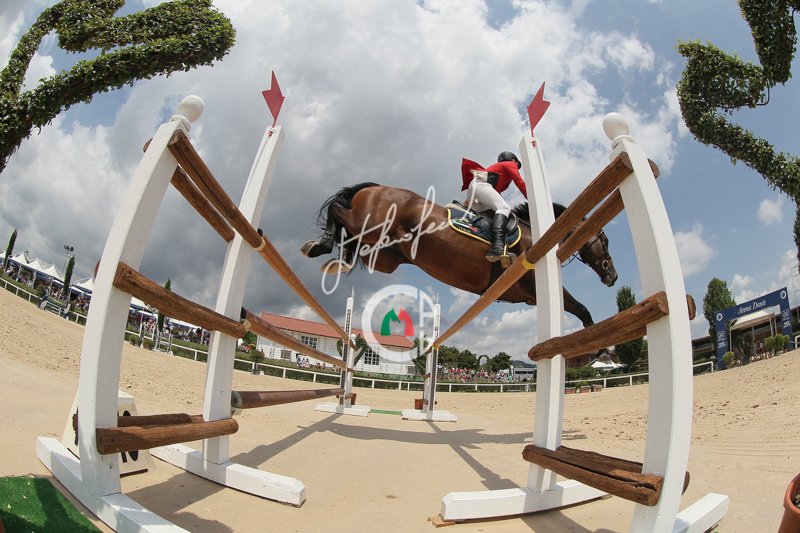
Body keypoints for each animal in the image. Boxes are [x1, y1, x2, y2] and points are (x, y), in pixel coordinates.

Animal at [300, 182, 617, 326]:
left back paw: (336, 260)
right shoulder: (535, 286)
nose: (613, 276)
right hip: (371, 226)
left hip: (384, 255)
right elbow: (581, 308)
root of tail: (375, 187)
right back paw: (321, 246)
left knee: (353, 242)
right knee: (337, 210)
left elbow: (578, 308)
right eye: (606, 240)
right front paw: (600, 351)